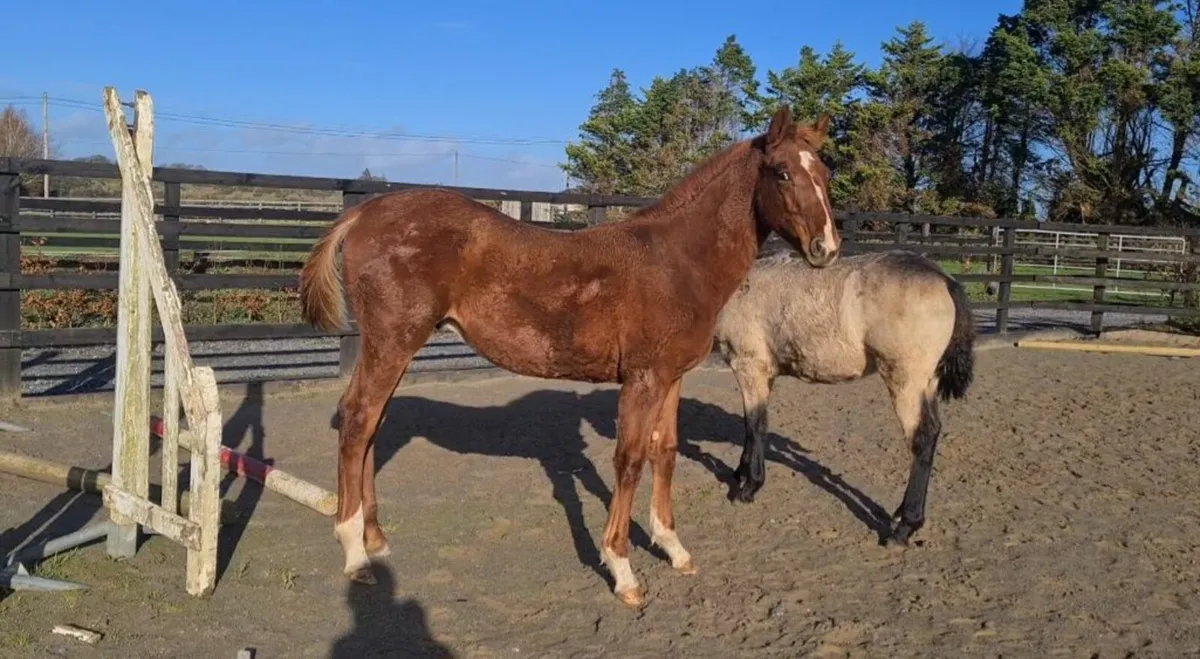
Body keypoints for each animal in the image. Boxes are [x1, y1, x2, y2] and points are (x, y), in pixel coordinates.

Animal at [299, 106, 841, 608]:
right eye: (782, 172)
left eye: (825, 172)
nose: (827, 248)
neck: (676, 261)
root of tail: (365, 213)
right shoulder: (642, 379)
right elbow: (629, 460)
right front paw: (622, 570)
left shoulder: (671, 377)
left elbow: (665, 452)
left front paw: (673, 548)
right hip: (391, 343)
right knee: (358, 420)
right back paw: (354, 552)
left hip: (395, 349)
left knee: (372, 424)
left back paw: (375, 539)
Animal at [712, 247, 975, 546]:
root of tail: (944, 279)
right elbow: (751, 425)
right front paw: (739, 473)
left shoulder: (750, 367)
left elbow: (755, 425)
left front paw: (748, 487)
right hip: (927, 383)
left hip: (905, 380)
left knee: (922, 437)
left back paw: (904, 527)